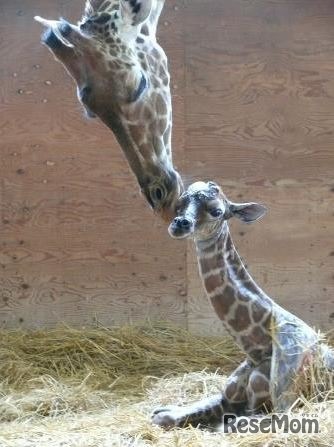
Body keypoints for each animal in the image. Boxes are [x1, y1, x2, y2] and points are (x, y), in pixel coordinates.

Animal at [152, 182, 334, 430]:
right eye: (180, 204)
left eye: (216, 211)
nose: (180, 224)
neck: (259, 354)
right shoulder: (227, 397)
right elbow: (165, 416)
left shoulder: (284, 410)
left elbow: (229, 426)